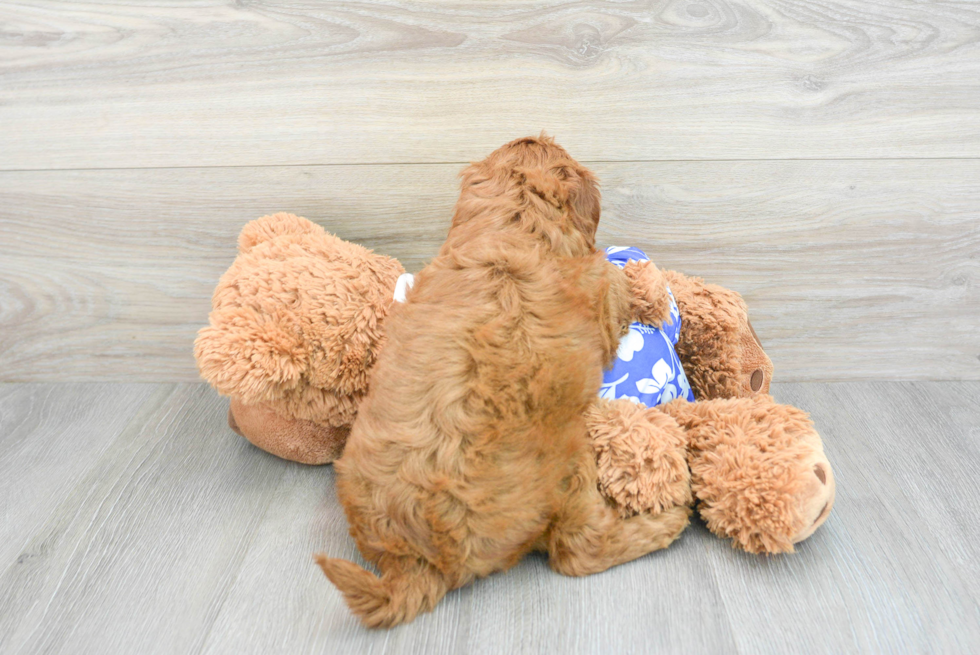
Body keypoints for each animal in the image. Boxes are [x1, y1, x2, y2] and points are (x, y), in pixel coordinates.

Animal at [318, 136, 684, 628]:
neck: (511, 227)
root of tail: (418, 559)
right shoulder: (598, 294)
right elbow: (615, 281)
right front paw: (639, 282)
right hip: (571, 467)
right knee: (578, 549)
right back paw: (668, 521)